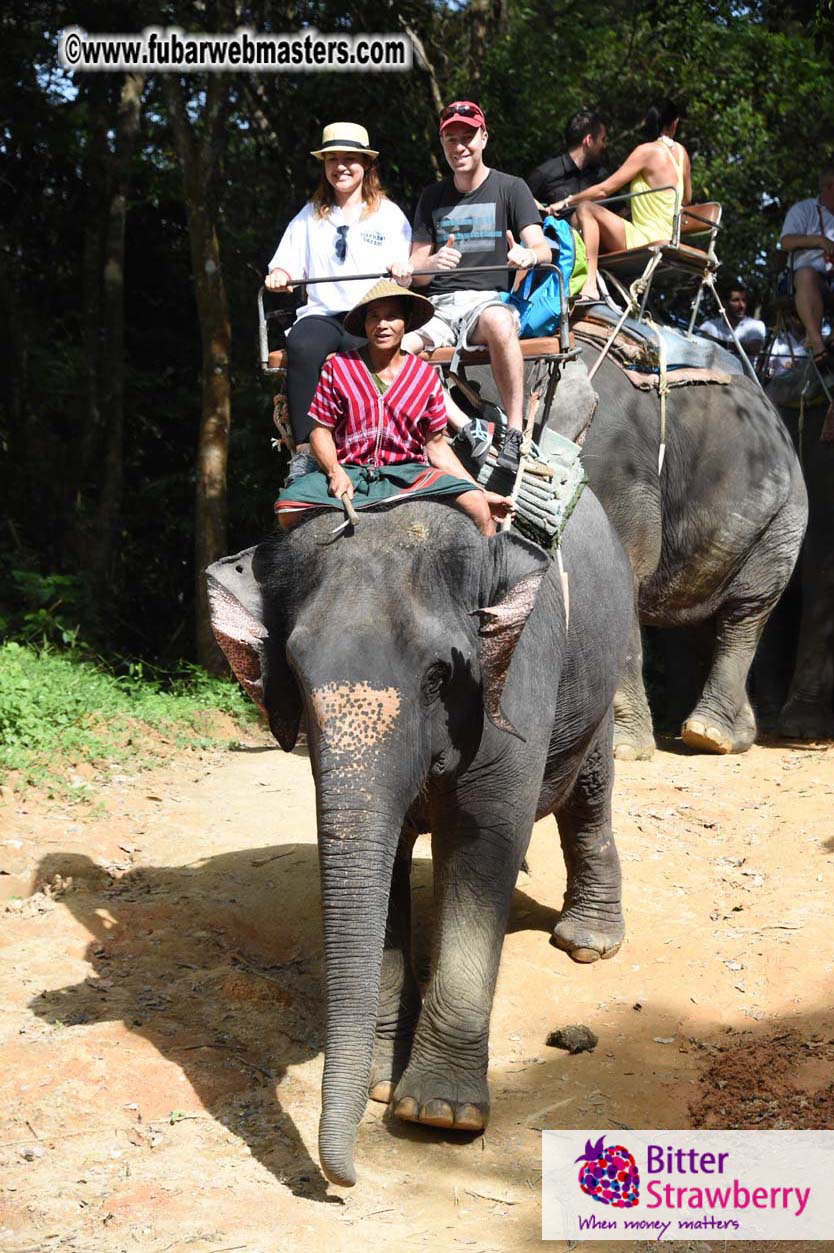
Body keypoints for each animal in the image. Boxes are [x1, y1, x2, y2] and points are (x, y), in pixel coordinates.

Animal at [207, 488, 632, 1187]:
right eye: (294, 672)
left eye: (437, 677)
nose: (345, 1179)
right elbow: (385, 867)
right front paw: (382, 1085)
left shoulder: (519, 671)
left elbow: (486, 842)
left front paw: (438, 1114)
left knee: (589, 789)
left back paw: (588, 944)